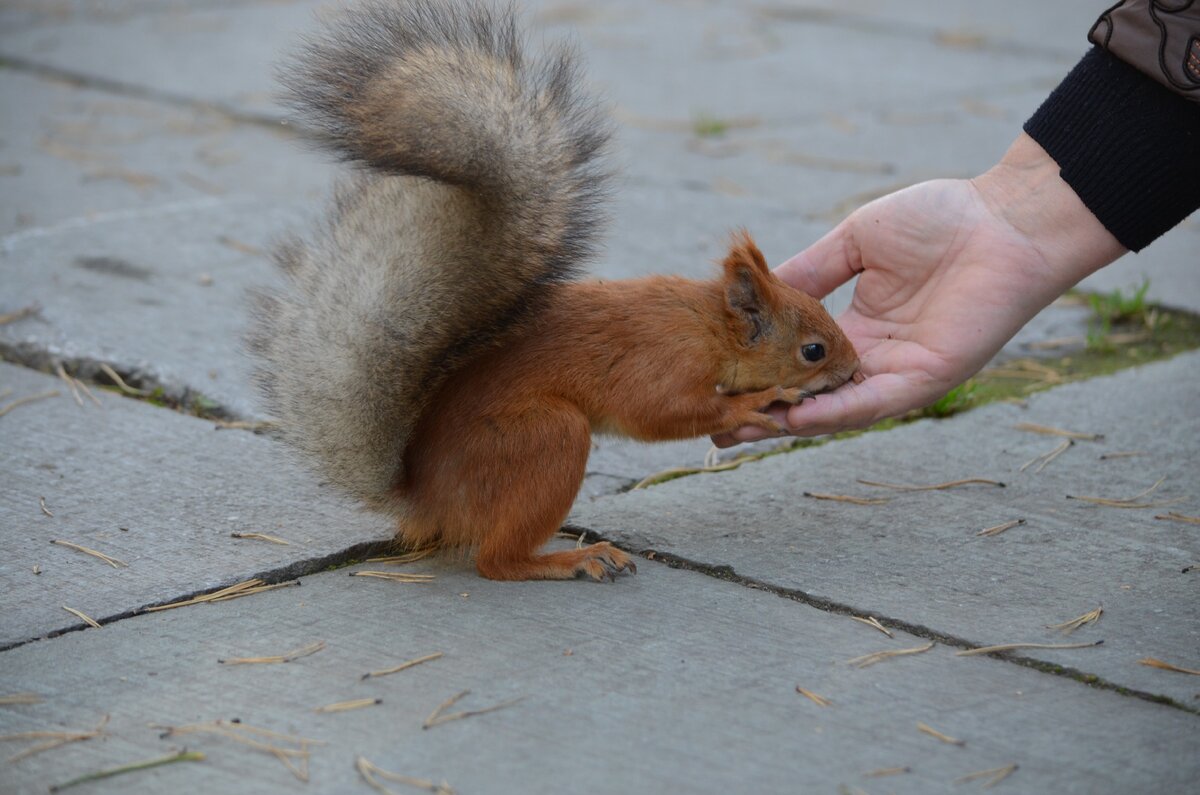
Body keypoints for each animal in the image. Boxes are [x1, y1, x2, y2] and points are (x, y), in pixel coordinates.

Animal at [248, 0, 859, 586]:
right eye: (813, 350)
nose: (856, 372)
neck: (707, 324)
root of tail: (425, 498)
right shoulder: (663, 362)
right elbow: (658, 413)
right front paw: (758, 401)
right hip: (546, 438)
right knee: (496, 560)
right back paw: (572, 559)